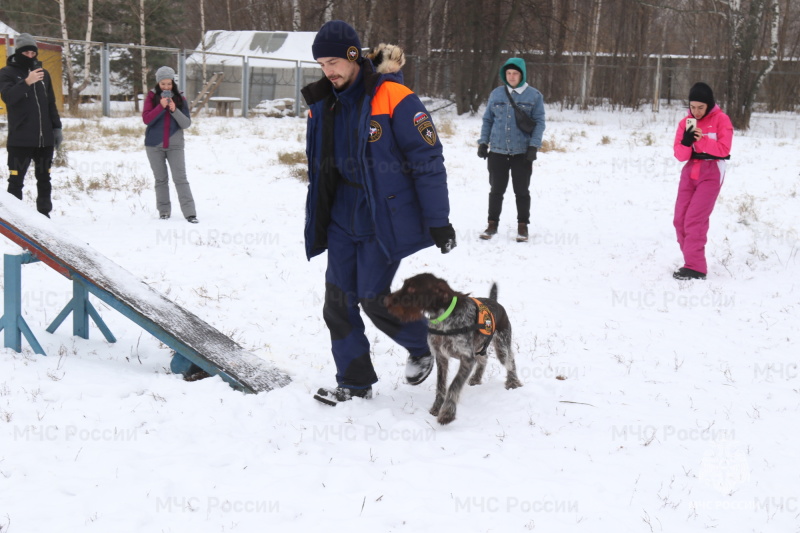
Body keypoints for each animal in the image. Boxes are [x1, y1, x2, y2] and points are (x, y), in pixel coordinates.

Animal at [384, 274, 520, 424]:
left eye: (412, 288)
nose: (386, 300)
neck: (442, 317)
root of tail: (495, 302)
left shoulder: (466, 358)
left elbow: (454, 385)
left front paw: (447, 413)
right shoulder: (441, 356)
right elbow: (441, 385)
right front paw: (437, 407)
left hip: (501, 346)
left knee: (510, 360)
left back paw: (513, 382)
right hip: (479, 347)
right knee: (484, 358)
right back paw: (476, 378)